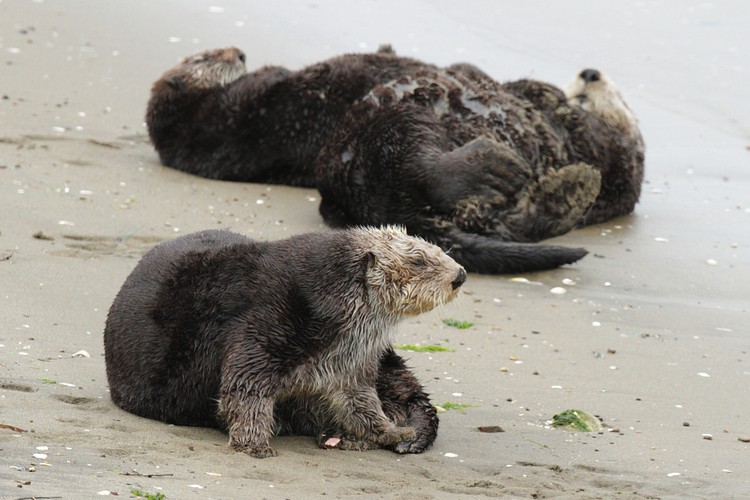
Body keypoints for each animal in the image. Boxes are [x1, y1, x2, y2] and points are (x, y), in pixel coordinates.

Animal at [103, 227, 465, 457]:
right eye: (418, 260)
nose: (460, 275)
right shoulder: (267, 324)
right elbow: (244, 387)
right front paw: (255, 444)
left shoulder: (352, 360)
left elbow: (360, 401)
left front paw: (392, 432)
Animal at [315, 67, 644, 273]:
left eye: (621, 98)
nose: (591, 73)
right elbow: (531, 88)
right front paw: (555, 95)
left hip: (400, 124)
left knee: (427, 174)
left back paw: (561, 185)